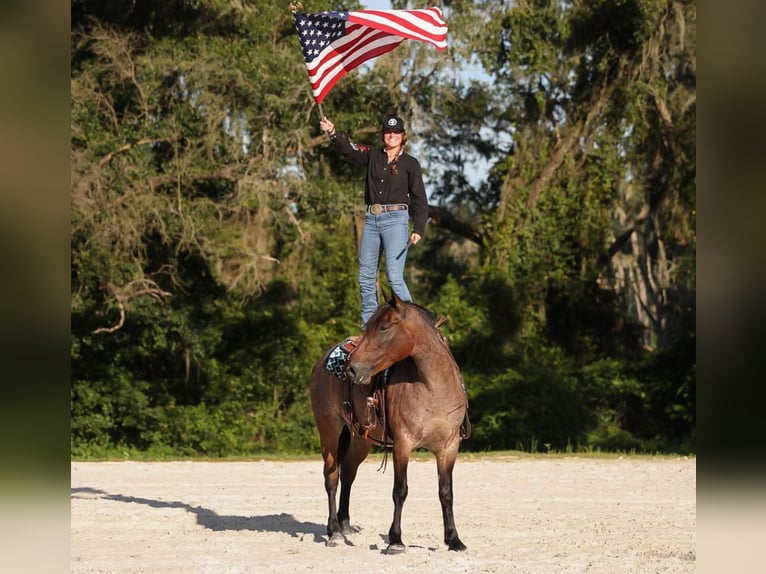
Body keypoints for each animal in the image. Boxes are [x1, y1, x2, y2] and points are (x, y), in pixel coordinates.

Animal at [309, 291, 470, 553]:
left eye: (384, 327)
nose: (352, 369)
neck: (432, 387)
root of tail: (322, 362)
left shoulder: (449, 447)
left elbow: (446, 492)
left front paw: (453, 539)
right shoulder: (403, 444)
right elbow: (400, 490)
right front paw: (395, 540)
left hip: (359, 439)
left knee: (348, 473)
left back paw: (344, 524)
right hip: (329, 432)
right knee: (331, 477)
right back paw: (334, 531)